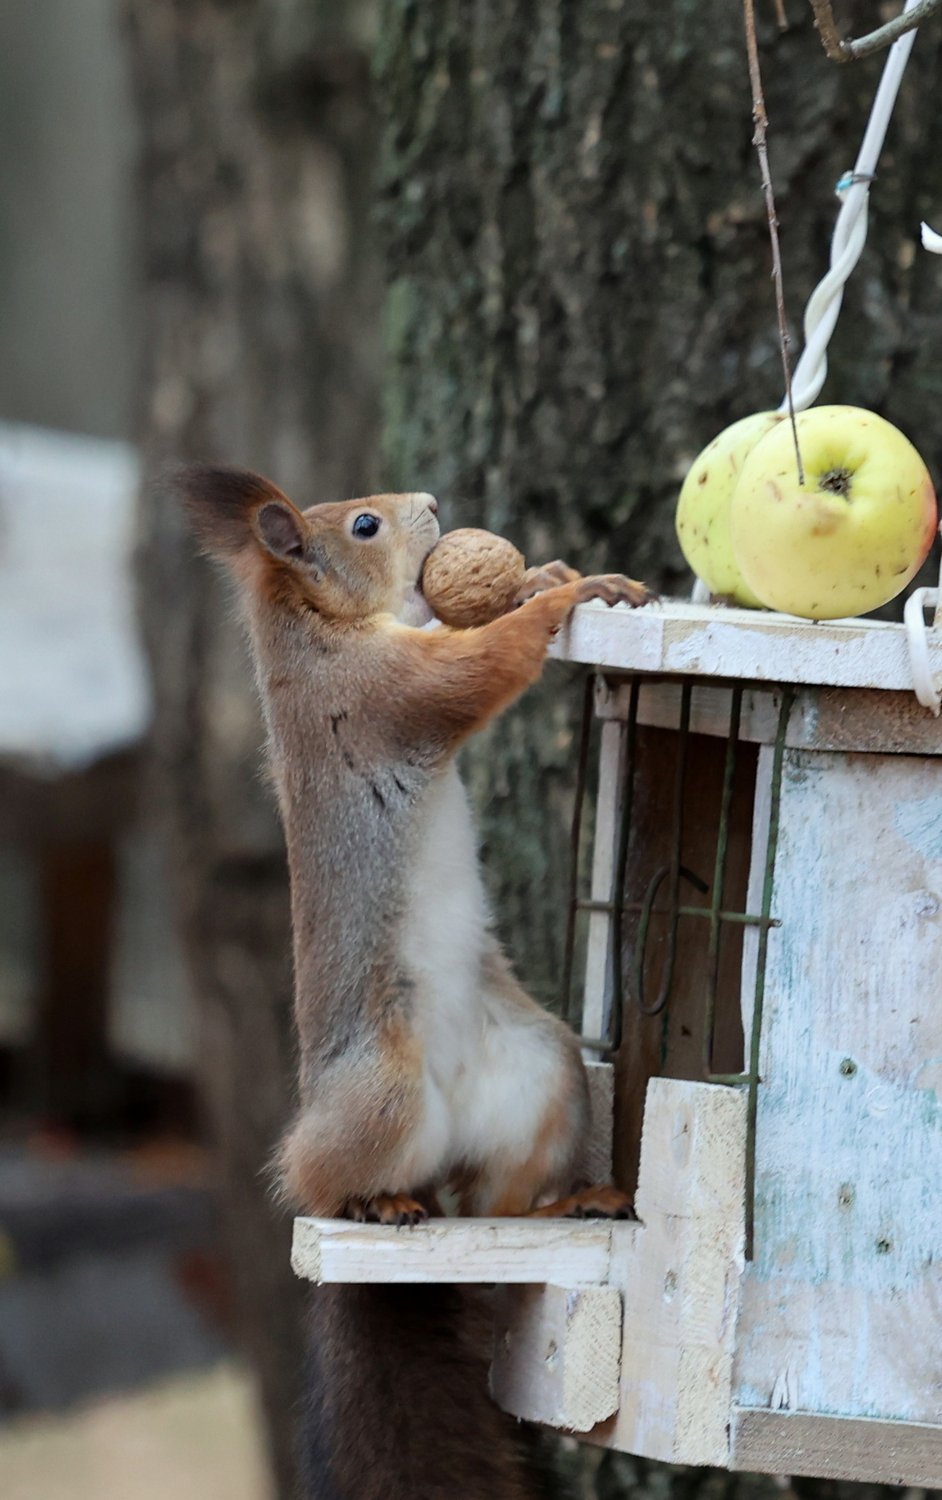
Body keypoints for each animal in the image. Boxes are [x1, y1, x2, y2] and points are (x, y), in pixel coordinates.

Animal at [182, 462, 654, 1494]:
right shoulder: (381, 695)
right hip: (382, 1093)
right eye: (364, 525)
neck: (327, 631)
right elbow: (478, 671)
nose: (431, 502)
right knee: (319, 1184)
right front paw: (559, 599)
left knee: (494, 1208)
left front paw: (553, 575)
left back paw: (569, 1200)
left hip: (544, 1071)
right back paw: (376, 1203)